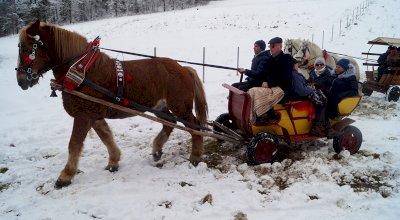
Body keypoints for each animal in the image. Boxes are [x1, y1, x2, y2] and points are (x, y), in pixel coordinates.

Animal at [14, 20, 209, 187]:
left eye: (25, 48)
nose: (20, 81)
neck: (81, 70)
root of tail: (184, 68)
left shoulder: (83, 115)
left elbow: (74, 144)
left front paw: (65, 176)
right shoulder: (93, 114)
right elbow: (106, 136)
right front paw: (113, 161)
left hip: (180, 108)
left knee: (195, 126)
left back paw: (195, 156)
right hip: (160, 107)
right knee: (169, 124)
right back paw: (157, 149)